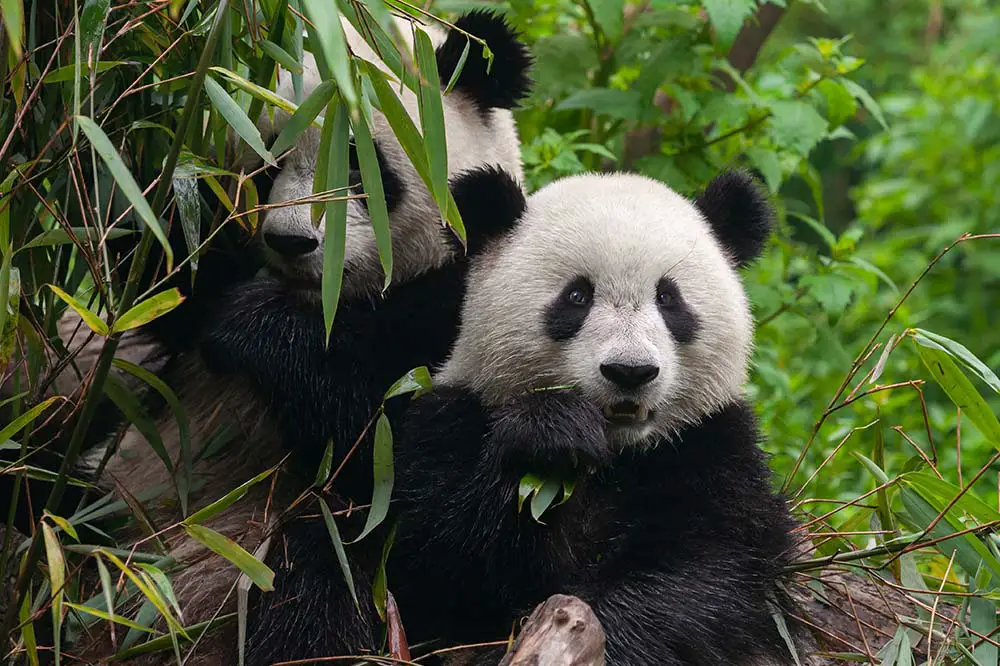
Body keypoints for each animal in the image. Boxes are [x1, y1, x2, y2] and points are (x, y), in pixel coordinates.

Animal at [5, 10, 532, 664]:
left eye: (358, 164)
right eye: (265, 163)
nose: (292, 242)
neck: (327, 303)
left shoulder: (465, 317)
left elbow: (426, 488)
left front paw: (255, 328)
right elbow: (158, 256)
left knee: (315, 578)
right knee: (41, 484)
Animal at [244, 167, 812, 664]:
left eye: (669, 299)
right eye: (577, 296)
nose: (629, 371)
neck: (613, 457)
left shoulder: (708, 445)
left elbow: (700, 568)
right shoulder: (447, 422)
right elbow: (440, 556)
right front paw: (552, 432)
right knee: (313, 574)